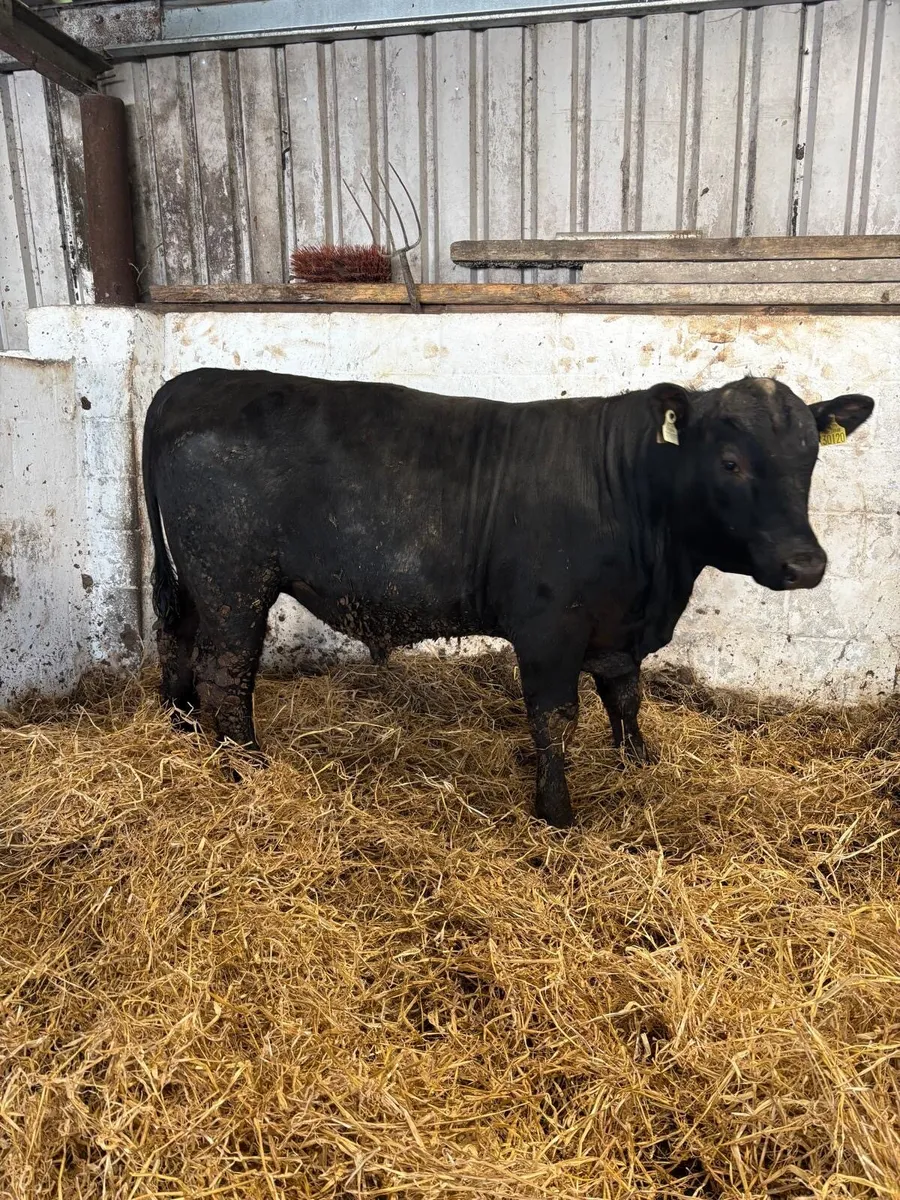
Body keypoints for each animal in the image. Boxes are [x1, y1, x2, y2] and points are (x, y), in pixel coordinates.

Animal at [141, 370, 873, 827]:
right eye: (730, 462)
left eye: (810, 458)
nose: (805, 563)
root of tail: (194, 382)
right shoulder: (549, 629)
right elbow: (556, 720)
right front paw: (558, 815)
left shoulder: (616, 629)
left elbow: (625, 697)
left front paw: (638, 765)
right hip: (234, 583)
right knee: (226, 675)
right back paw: (249, 769)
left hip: (199, 583)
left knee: (178, 643)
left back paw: (183, 730)